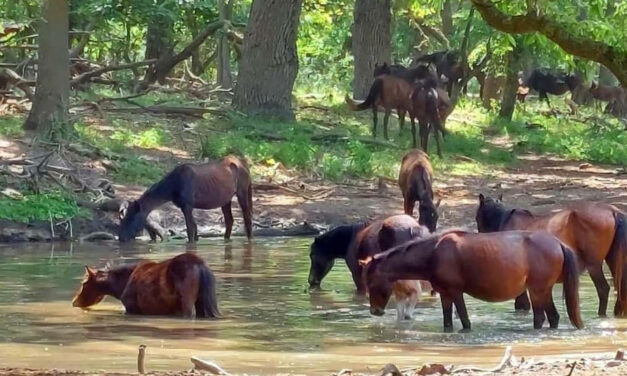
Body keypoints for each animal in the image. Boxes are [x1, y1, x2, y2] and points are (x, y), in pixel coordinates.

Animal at [72, 251, 221, 318]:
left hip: (187, 304)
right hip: (202, 303)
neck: (120, 287)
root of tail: (199, 264)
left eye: (84, 283)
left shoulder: (131, 308)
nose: (74, 302)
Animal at [120, 156, 253, 244]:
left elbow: (190, 230)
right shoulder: (186, 207)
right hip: (226, 200)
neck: (174, 185)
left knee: (247, 218)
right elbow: (194, 229)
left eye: (131, 218)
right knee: (229, 221)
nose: (121, 238)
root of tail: (243, 163)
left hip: (242, 193)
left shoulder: (187, 206)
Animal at [360, 231, 588, 330]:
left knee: (540, 318)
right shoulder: (445, 294)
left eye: (371, 282)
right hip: (544, 290)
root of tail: (558, 243)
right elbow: (447, 321)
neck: (434, 252)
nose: (375, 311)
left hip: (537, 290)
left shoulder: (455, 291)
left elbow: (464, 319)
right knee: (554, 318)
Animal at [476, 194, 627, 318]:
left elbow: (522, 305)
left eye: (477, 218)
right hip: (613, 261)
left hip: (594, 264)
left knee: (603, 289)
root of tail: (613, 211)